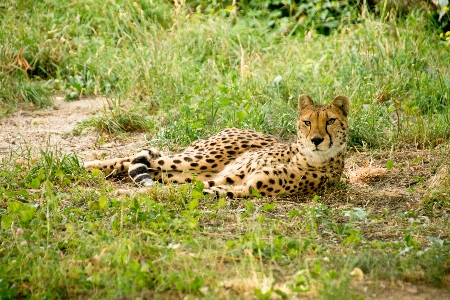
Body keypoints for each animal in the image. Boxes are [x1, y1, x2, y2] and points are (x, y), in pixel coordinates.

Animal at [85, 94, 352, 197]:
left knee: (148, 166)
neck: (306, 156)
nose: (316, 140)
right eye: (307, 122)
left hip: (191, 168)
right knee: (140, 158)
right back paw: (87, 164)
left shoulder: (243, 185)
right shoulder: (235, 176)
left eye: (330, 121)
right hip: (202, 157)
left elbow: (194, 190)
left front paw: (129, 194)